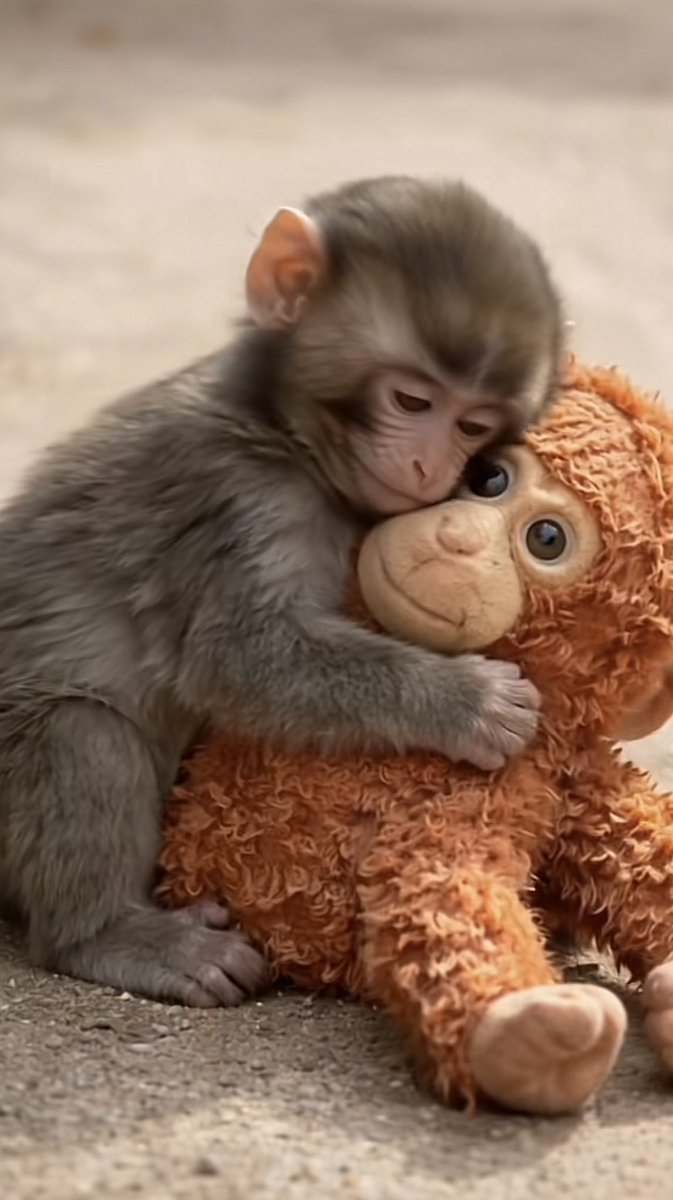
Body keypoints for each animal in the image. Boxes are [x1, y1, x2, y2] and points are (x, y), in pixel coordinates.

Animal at [0, 175, 564, 1008]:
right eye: (411, 403)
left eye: (472, 425)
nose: (428, 469)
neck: (276, 430)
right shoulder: (236, 494)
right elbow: (237, 658)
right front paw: (466, 701)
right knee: (83, 731)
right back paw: (108, 936)